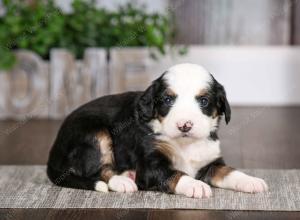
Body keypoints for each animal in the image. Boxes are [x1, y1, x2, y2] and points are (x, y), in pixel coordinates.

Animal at [48, 62, 268, 198]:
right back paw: (123, 182)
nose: (184, 125)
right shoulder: (150, 164)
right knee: (98, 171)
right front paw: (195, 185)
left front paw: (252, 181)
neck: (185, 144)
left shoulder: (210, 160)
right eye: (168, 100)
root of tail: (54, 151)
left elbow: (229, 172)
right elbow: (175, 174)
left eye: (204, 101)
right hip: (96, 133)